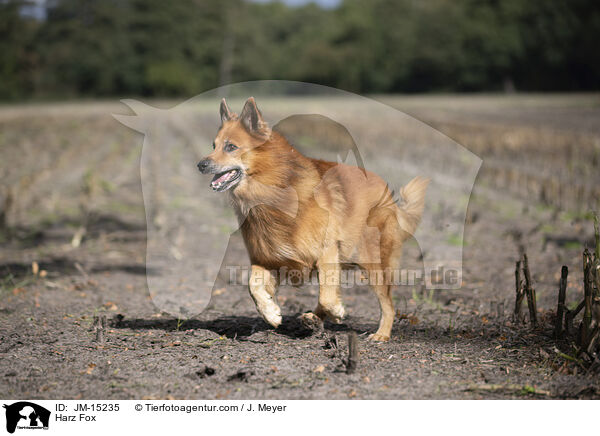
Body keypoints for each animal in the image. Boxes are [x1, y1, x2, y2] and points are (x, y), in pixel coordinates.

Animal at [198, 99, 426, 340]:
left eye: (231, 147)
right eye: (213, 145)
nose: (200, 164)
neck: (275, 190)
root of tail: (386, 190)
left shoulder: (327, 251)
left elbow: (327, 296)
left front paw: (337, 310)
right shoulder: (269, 259)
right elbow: (253, 286)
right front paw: (271, 312)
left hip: (372, 261)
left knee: (387, 303)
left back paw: (380, 334)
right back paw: (313, 319)